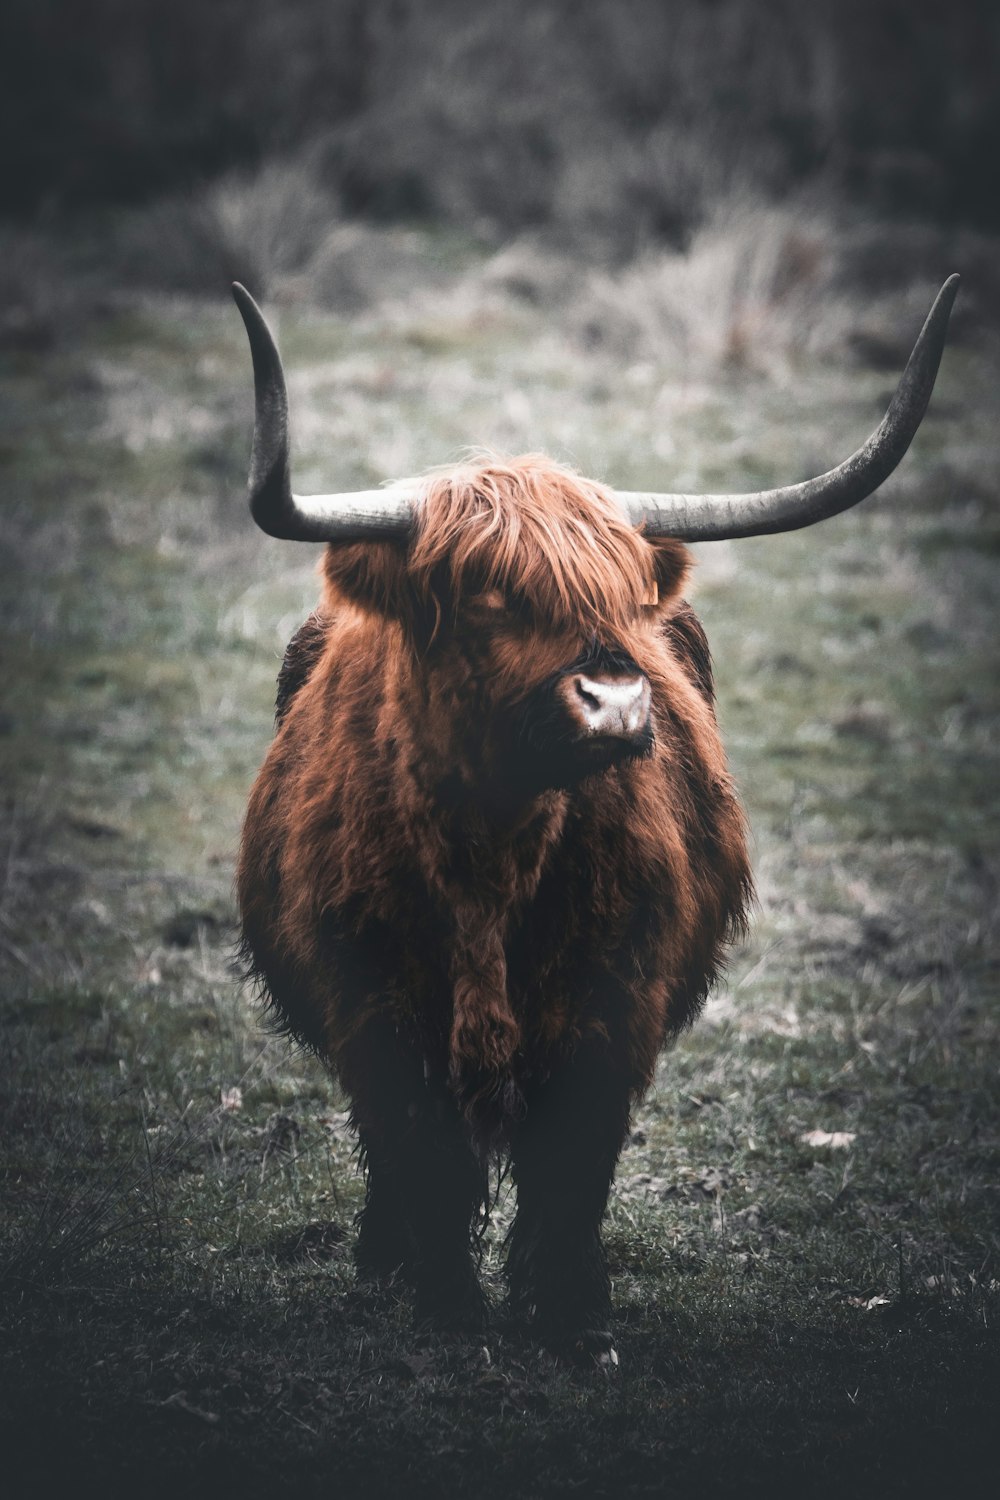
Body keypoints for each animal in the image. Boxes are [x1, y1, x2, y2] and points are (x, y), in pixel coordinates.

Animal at [230, 276, 959, 1368]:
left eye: (618, 595)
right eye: (489, 596)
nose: (616, 703)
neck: (490, 852)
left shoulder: (614, 994)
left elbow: (569, 1159)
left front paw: (566, 1312)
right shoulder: (369, 997)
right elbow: (421, 1148)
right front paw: (440, 1302)